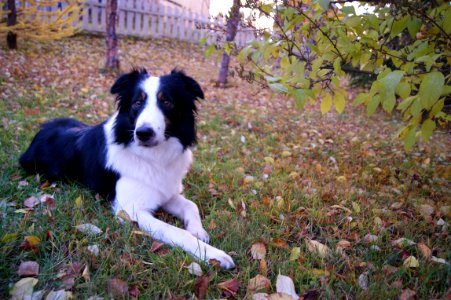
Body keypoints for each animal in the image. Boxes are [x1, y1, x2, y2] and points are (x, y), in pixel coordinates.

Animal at [18, 68, 237, 270]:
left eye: (167, 102)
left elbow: (191, 205)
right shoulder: (131, 210)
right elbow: (174, 230)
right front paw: (212, 254)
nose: (143, 133)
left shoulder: (165, 191)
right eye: (137, 103)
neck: (153, 157)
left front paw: (198, 231)